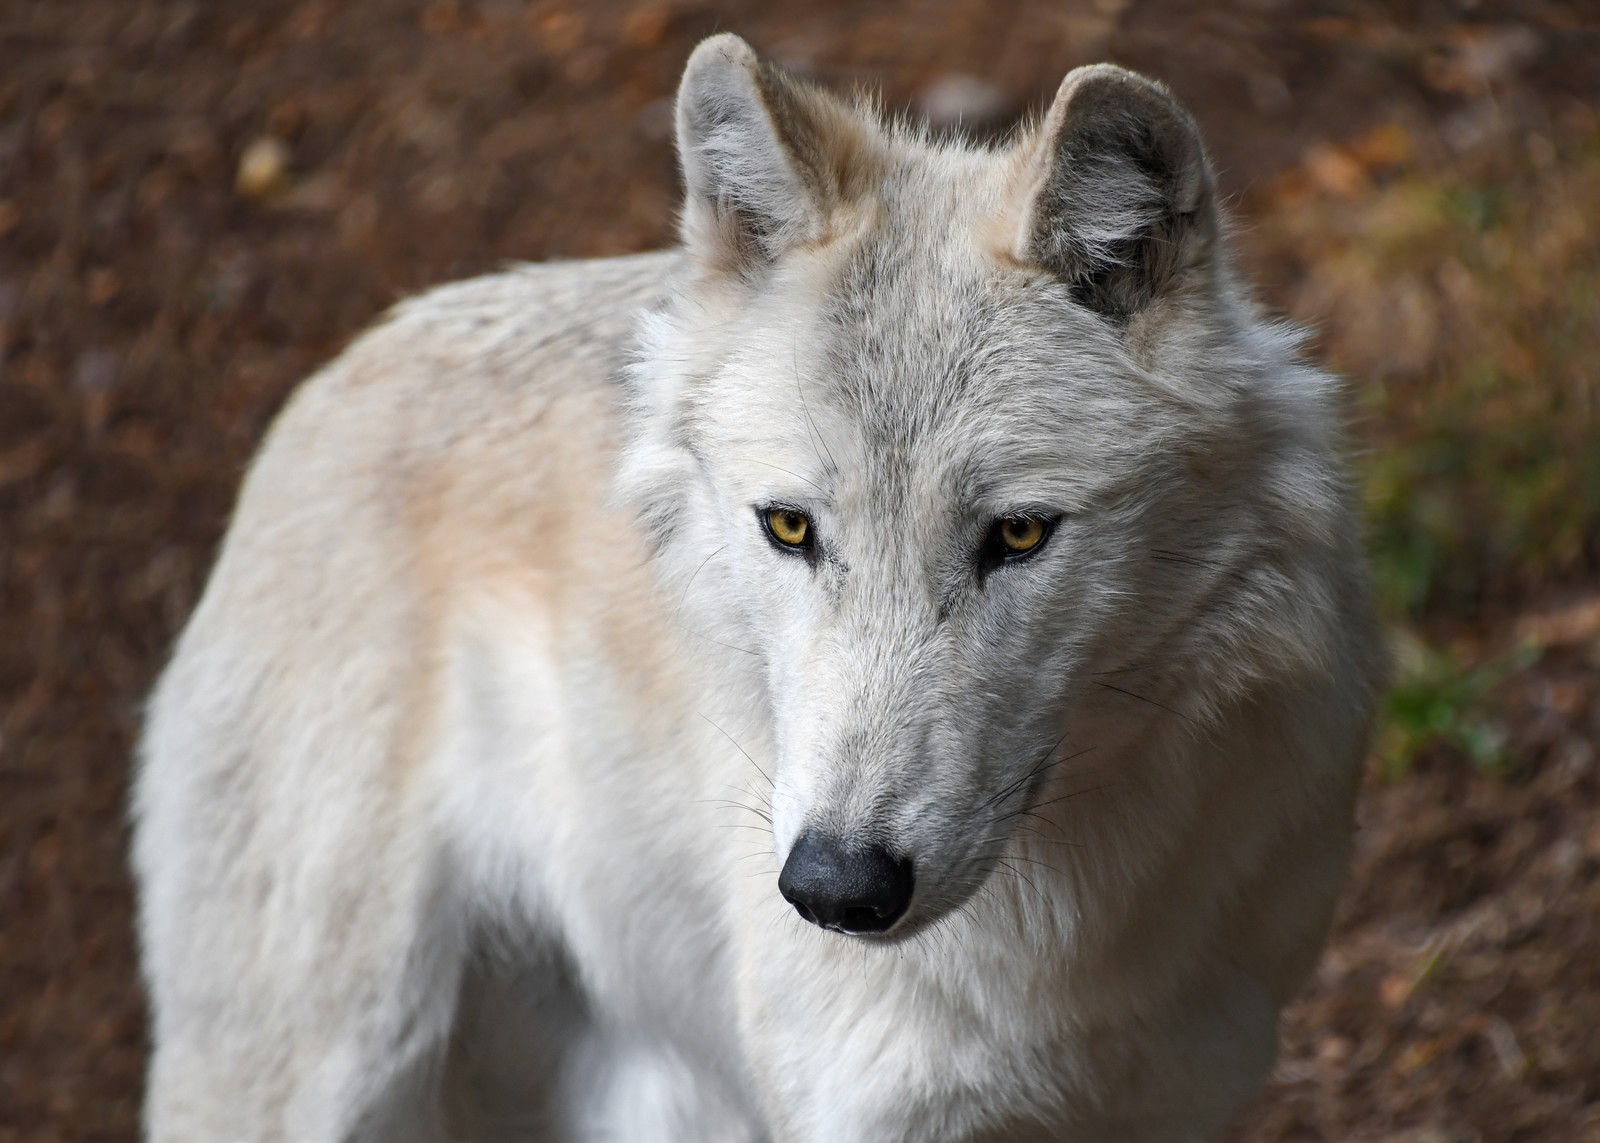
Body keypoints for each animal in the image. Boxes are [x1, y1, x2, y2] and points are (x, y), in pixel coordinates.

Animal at [134, 33, 1388, 1139]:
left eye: (1019, 535)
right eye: (789, 527)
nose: (835, 888)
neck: (1059, 958)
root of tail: (337, 374)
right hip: (316, 1069)